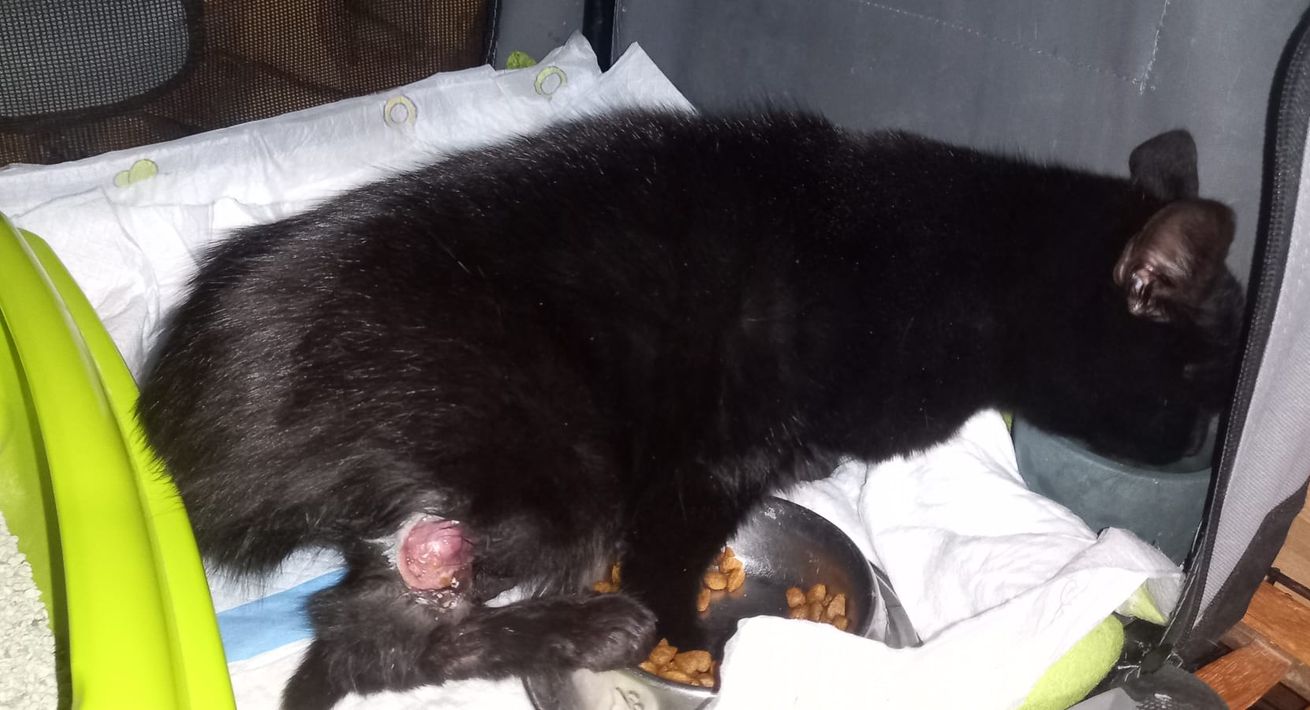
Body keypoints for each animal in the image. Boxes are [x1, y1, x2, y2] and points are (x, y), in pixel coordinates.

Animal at [136, 109, 1245, 709]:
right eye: (1197, 379)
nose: (1201, 444)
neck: (964, 264)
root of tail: (184, 421)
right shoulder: (708, 461)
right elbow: (674, 557)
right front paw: (691, 647)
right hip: (558, 472)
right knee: (377, 634)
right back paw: (601, 629)